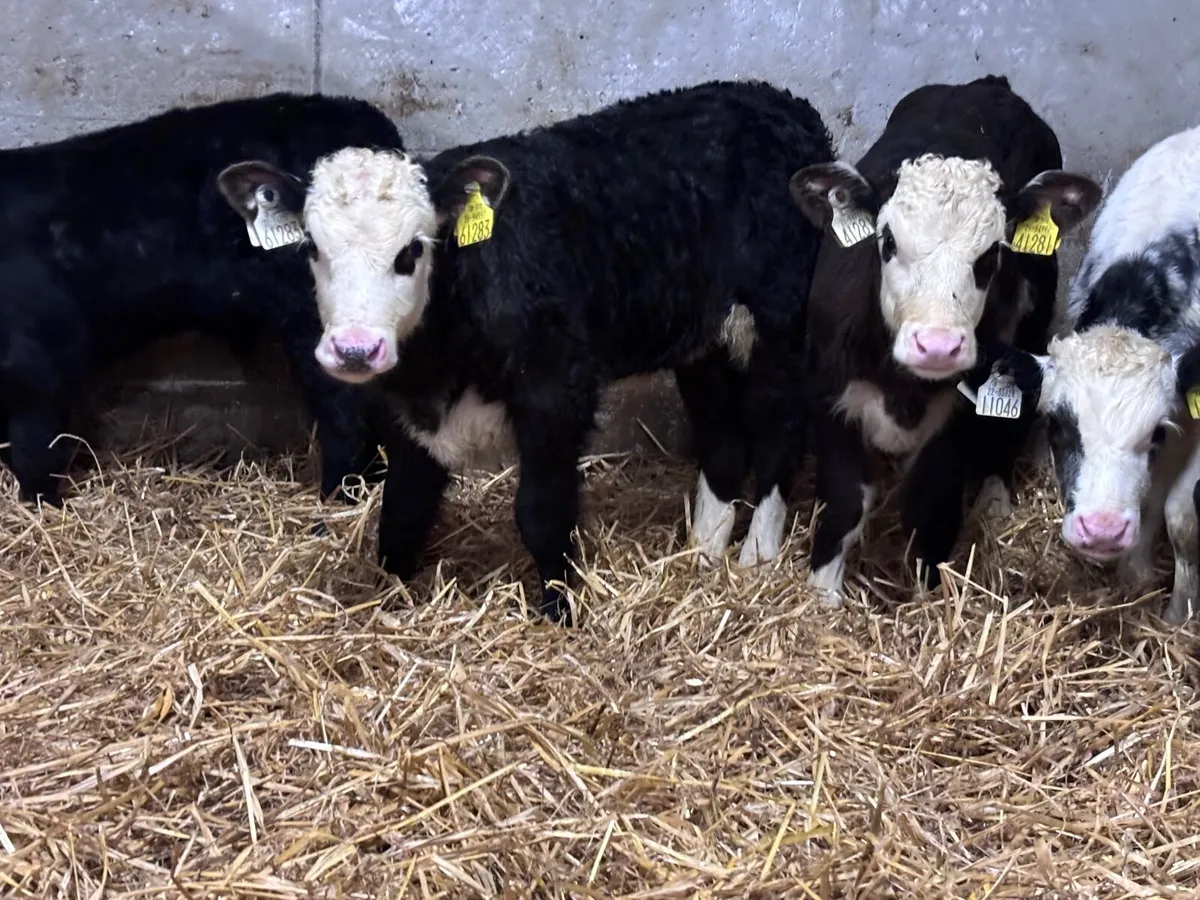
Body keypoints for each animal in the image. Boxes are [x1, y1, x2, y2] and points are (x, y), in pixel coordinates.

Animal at [216, 80, 835, 625]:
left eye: (412, 250)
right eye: (312, 247)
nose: (354, 350)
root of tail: (780, 102)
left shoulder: (556, 391)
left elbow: (541, 511)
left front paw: (562, 611)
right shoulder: (408, 409)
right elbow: (403, 508)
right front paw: (388, 597)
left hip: (781, 324)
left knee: (780, 431)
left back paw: (756, 556)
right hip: (706, 343)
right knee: (722, 437)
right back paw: (702, 550)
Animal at [788, 75, 1101, 605]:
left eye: (992, 254)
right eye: (887, 241)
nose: (937, 346)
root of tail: (986, 84)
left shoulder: (959, 419)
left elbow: (930, 508)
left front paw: (926, 594)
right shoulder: (829, 399)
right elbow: (846, 501)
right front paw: (822, 594)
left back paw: (995, 497)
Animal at [995, 124, 1200, 624]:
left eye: (1156, 432)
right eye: (1056, 425)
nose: (1103, 530)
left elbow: (1181, 515)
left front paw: (1178, 617)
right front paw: (1135, 574)